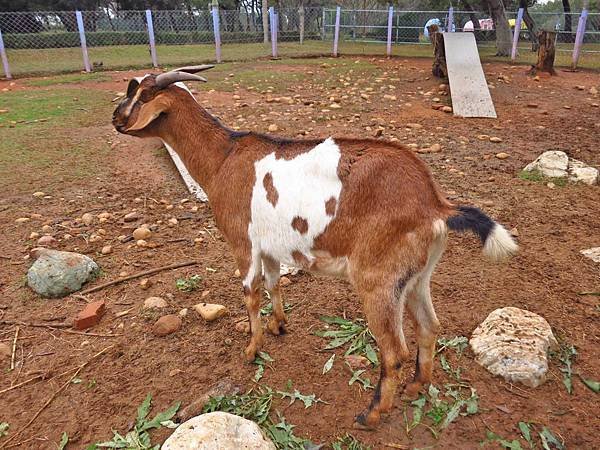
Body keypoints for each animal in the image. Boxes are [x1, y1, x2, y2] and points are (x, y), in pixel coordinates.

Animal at [112, 64, 516, 428]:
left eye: (139, 94)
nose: (115, 117)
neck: (224, 158)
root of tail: (435, 204)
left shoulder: (243, 243)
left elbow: (251, 294)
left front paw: (252, 349)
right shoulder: (271, 247)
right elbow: (274, 284)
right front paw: (279, 325)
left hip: (378, 280)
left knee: (394, 352)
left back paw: (371, 415)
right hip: (416, 277)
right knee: (430, 327)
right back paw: (417, 387)